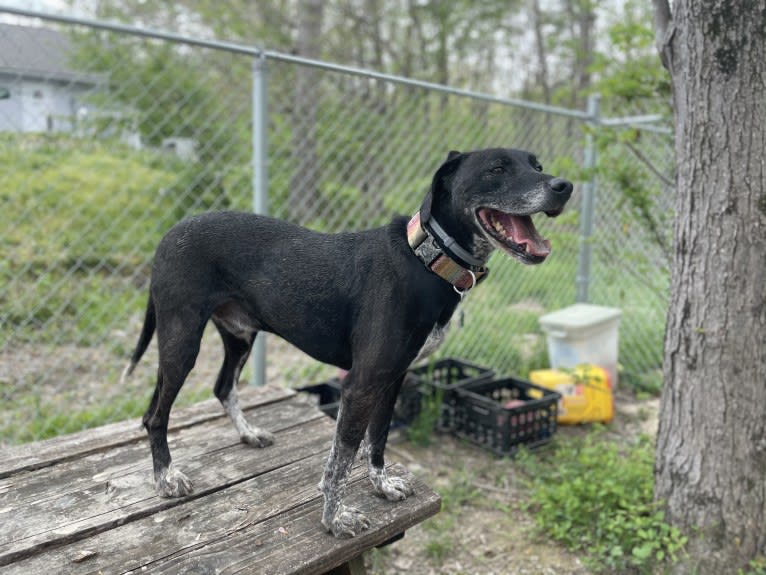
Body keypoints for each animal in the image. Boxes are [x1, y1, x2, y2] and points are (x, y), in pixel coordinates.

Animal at [123, 146, 572, 536]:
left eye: (536, 165)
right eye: (497, 169)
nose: (564, 186)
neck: (425, 260)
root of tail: (168, 235)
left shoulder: (393, 379)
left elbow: (377, 442)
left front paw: (381, 485)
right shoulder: (360, 385)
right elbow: (340, 460)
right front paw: (334, 519)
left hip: (239, 336)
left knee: (220, 387)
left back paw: (248, 434)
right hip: (182, 340)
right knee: (154, 415)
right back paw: (166, 476)